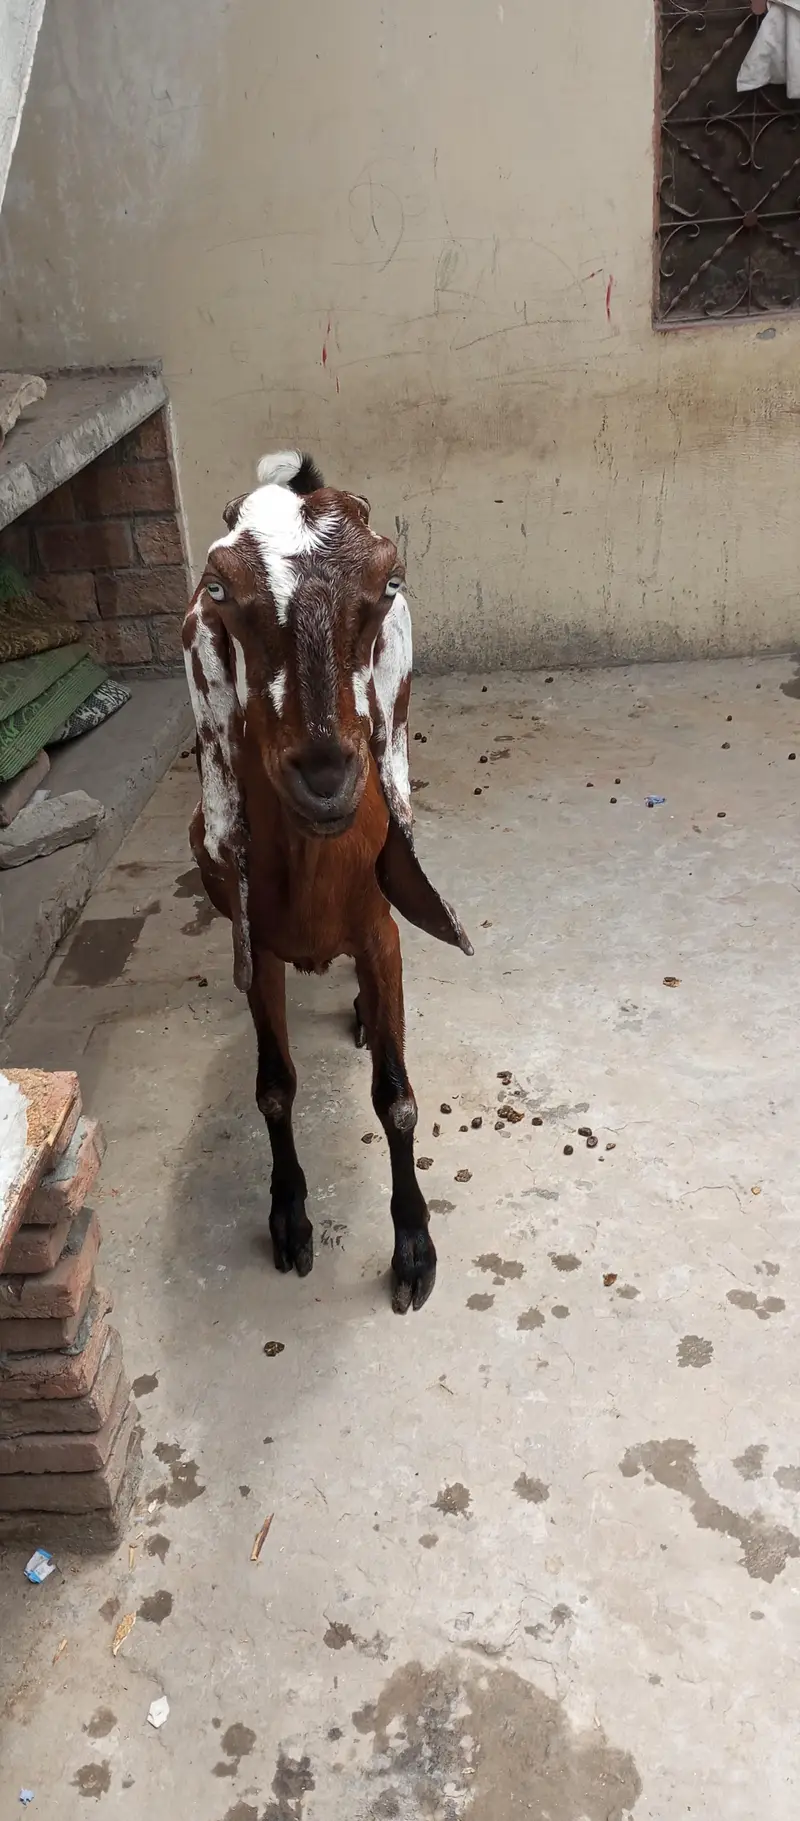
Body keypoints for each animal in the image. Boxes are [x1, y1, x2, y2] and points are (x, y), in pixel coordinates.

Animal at [183, 451, 472, 1313]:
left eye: (389, 581)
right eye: (218, 591)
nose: (325, 778)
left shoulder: (381, 929)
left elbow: (397, 1099)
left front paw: (413, 1247)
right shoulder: (257, 947)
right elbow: (275, 1087)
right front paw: (289, 1215)